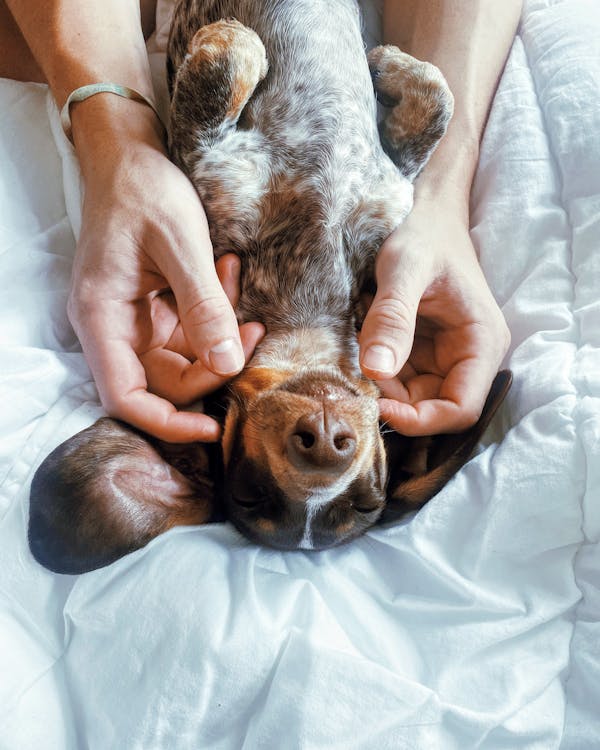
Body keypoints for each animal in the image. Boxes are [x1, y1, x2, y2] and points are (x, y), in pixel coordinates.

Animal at [29, 1, 510, 576]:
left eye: (365, 501)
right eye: (250, 496)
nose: (324, 447)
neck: (306, 317)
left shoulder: (388, 197)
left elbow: (436, 101)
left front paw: (385, 66)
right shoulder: (209, 163)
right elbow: (226, 70)